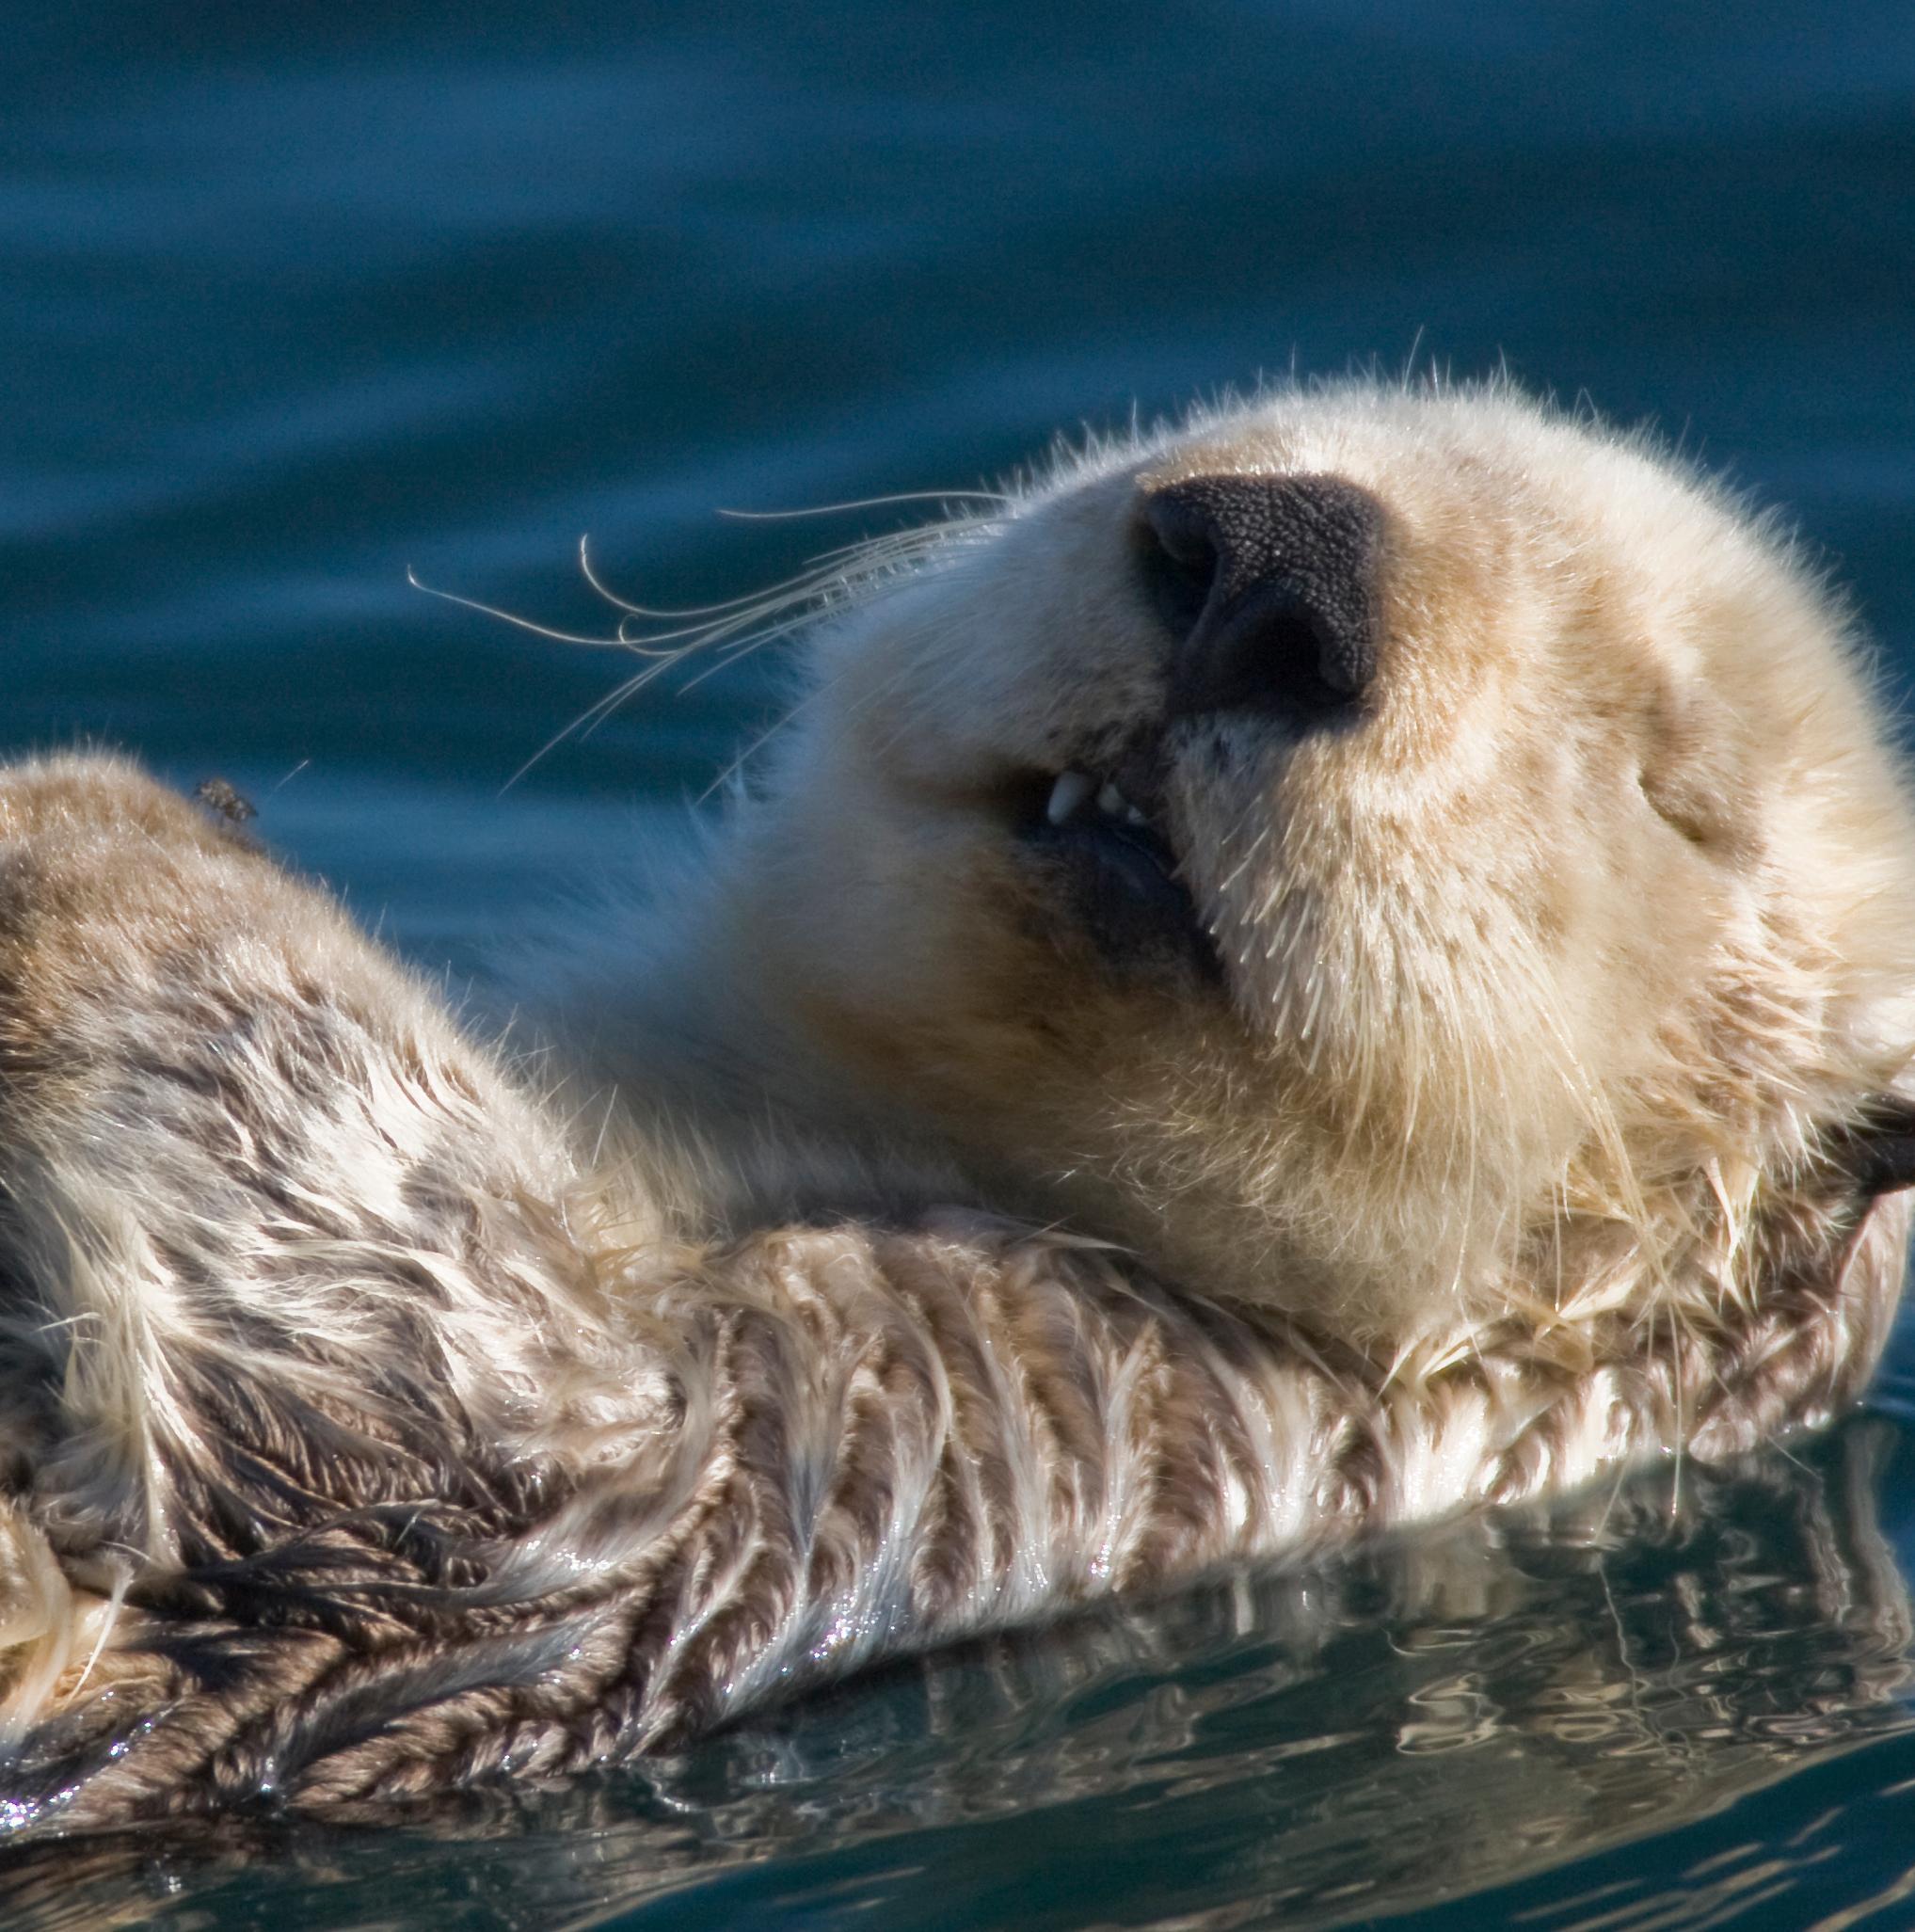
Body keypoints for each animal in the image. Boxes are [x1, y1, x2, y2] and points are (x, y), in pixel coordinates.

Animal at [1, 379, 1913, 1832]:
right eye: (1241, 433)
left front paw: (86, 819)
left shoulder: (965, 1416)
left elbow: (483, 1397)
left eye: (1674, 791)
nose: (1273, 563)